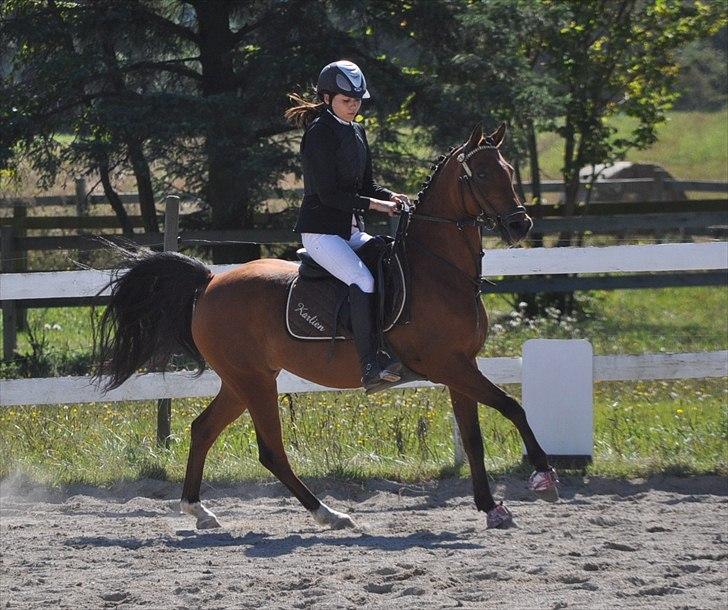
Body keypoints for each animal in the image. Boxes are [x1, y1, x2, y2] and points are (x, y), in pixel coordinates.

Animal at [93, 122, 558, 531]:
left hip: (242, 380)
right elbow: (512, 407)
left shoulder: (461, 367)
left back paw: (201, 511)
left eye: (509, 171)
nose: (520, 225)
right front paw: (544, 475)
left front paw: (491, 508)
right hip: (253, 381)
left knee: (203, 429)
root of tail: (208, 281)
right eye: (481, 173)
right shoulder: (449, 365)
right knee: (271, 451)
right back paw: (329, 514)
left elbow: (475, 437)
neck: (440, 269)